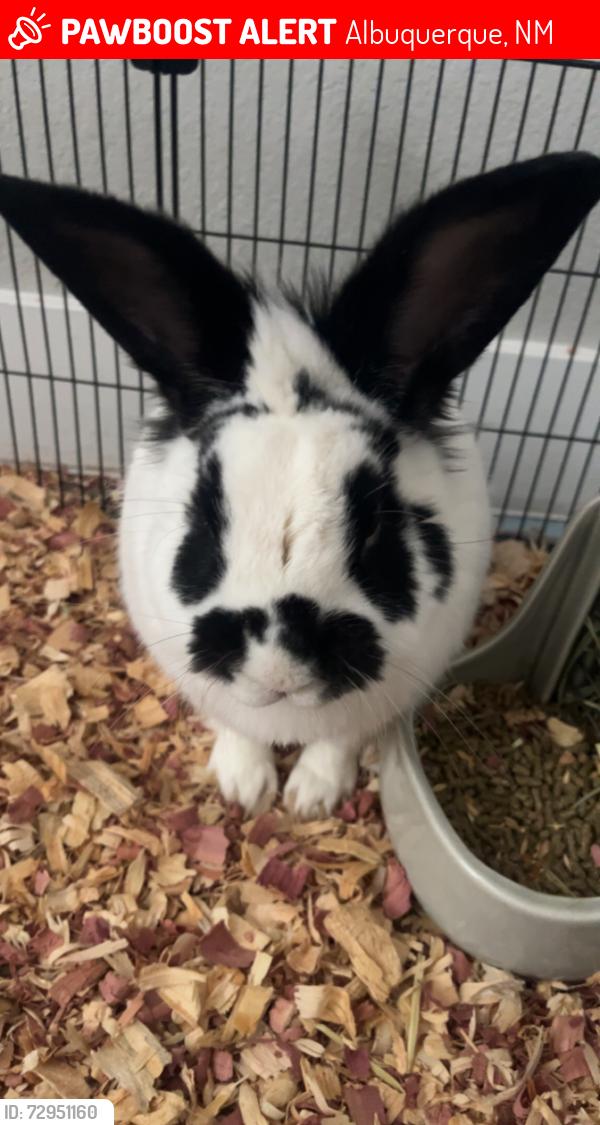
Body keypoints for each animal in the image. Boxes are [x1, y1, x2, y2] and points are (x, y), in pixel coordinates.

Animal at [1, 151, 599, 818]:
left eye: (376, 523)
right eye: (203, 517)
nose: (278, 668)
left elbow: (338, 740)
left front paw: (312, 797)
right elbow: (237, 727)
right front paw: (245, 789)